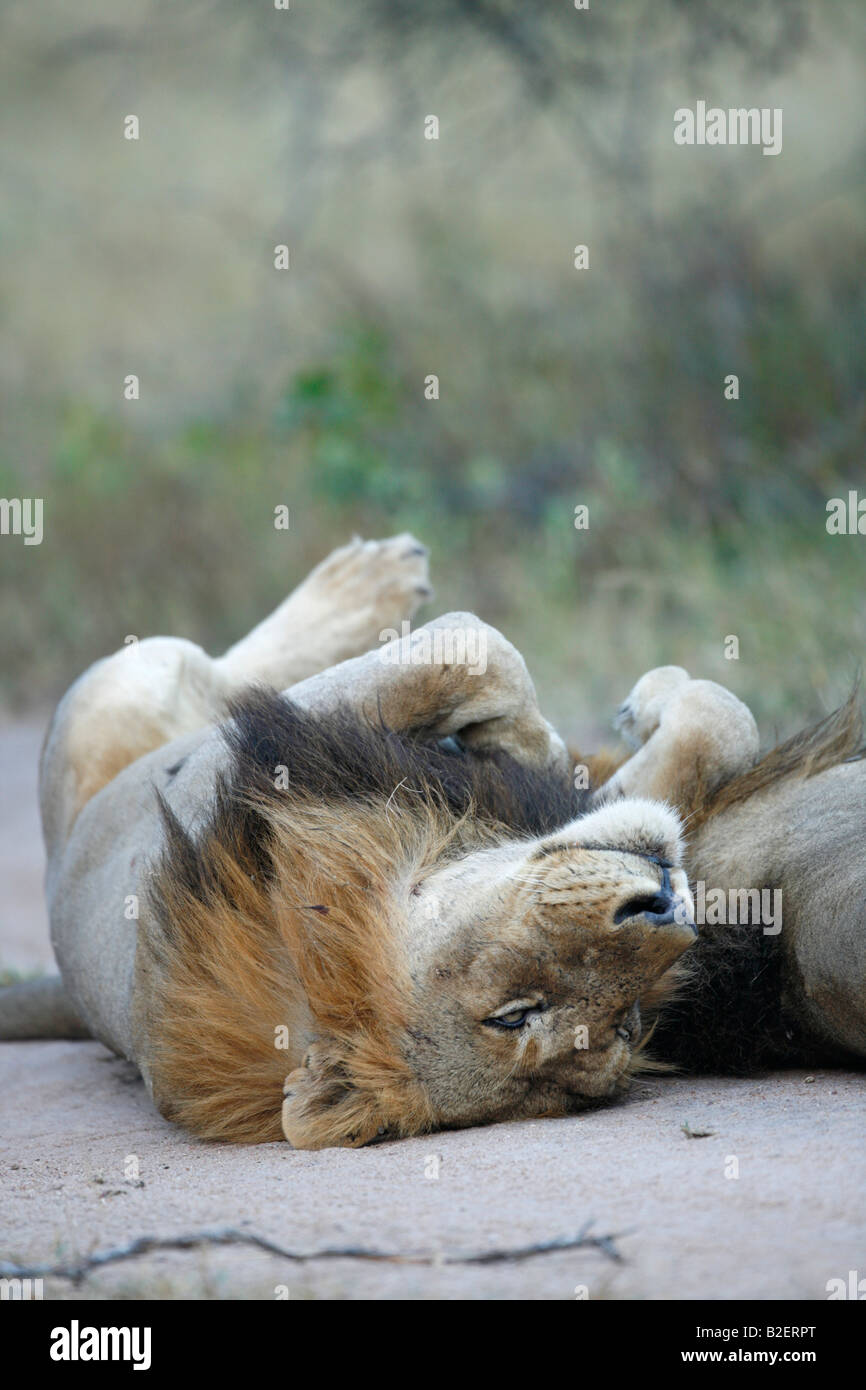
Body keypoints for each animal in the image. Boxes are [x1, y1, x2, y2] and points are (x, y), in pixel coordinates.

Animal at [0, 536, 861, 1145]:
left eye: (625, 1024)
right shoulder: (246, 750)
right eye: (515, 1016)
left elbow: (710, 728)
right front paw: (548, 737)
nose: (661, 908)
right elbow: (476, 648)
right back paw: (369, 580)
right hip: (117, 690)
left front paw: (583, 738)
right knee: (206, 662)